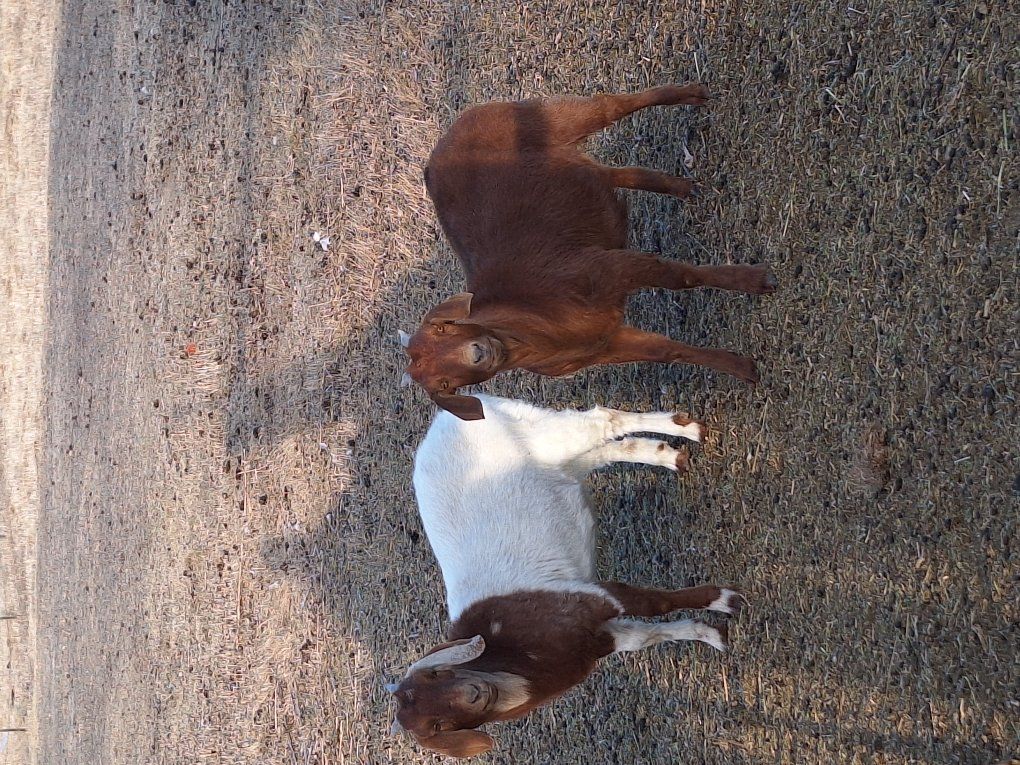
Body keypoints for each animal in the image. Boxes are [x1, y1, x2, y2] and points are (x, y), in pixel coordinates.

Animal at [388, 395, 741, 758]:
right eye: (436, 727)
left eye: (438, 674)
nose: (475, 693)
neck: (514, 660)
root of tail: (442, 420)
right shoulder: (598, 639)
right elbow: (646, 636)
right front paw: (710, 634)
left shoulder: (586, 599)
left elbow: (654, 604)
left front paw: (726, 600)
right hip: (554, 460)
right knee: (606, 449)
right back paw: (669, 455)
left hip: (546, 437)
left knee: (603, 421)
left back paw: (688, 431)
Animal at [401, 84, 777, 420]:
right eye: (443, 384)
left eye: (444, 329)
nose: (478, 354)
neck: (535, 324)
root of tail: (440, 146)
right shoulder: (605, 344)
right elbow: (668, 351)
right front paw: (743, 368)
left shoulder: (605, 268)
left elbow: (681, 277)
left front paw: (756, 280)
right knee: (610, 174)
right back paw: (679, 187)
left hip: (555, 117)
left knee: (608, 106)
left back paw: (692, 93)